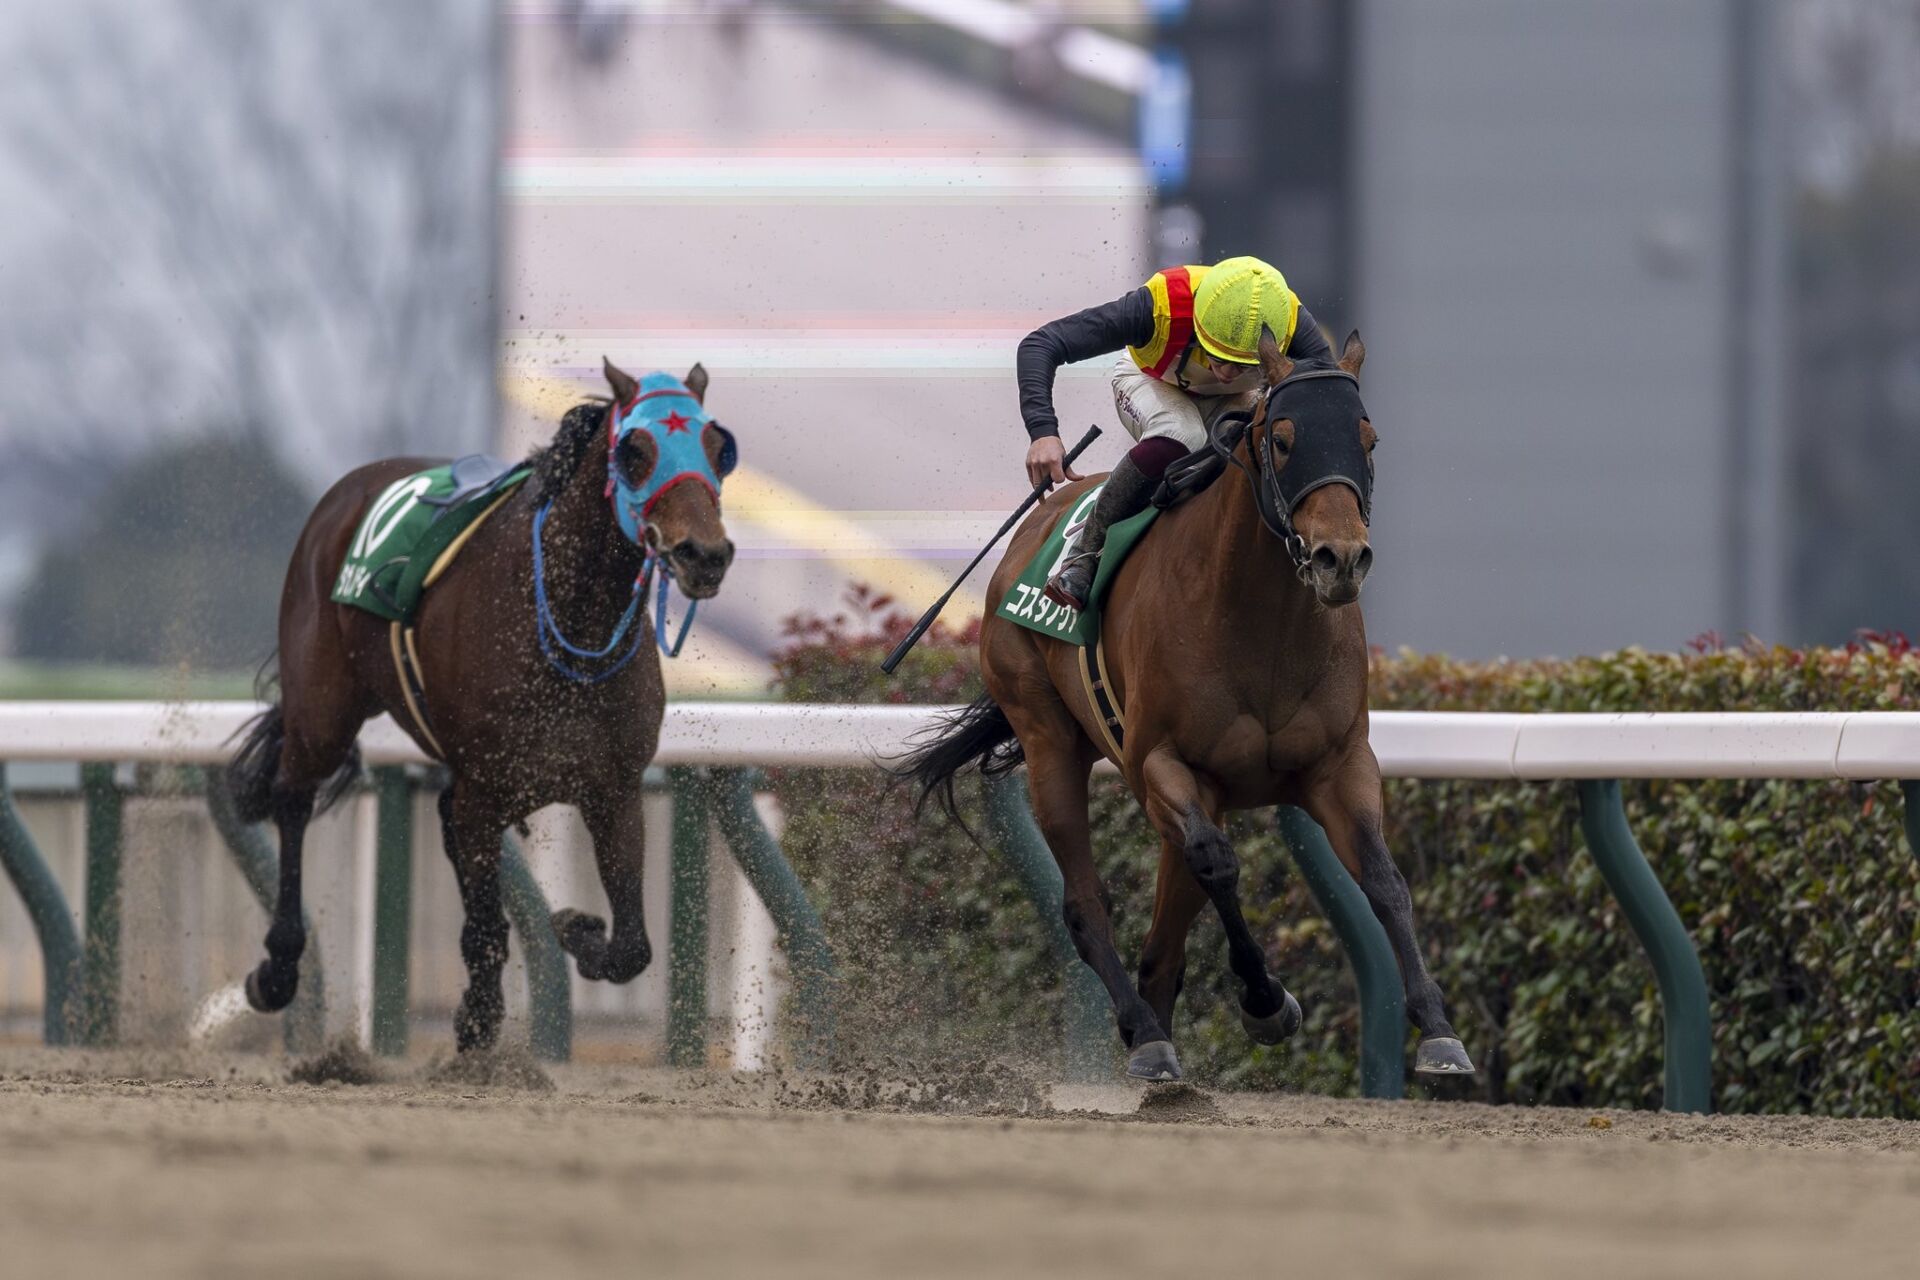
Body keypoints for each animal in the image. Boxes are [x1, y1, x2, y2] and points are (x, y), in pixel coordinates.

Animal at [226, 358, 738, 1052]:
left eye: (718, 448)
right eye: (634, 450)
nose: (704, 555)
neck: (568, 625)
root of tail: (348, 490)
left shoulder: (612, 788)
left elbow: (632, 945)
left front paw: (575, 929)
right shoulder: (486, 786)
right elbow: (489, 922)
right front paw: (478, 1015)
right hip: (322, 712)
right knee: (293, 798)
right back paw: (276, 968)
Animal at [897, 329, 1473, 1083]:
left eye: (1368, 438)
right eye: (1282, 439)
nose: (1340, 560)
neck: (1264, 625)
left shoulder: (1340, 764)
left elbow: (1384, 879)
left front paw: (1439, 1030)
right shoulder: (1163, 766)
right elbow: (1220, 864)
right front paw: (1266, 1003)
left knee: (1163, 941)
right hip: (1049, 738)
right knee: (1088, 904)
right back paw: (1145, 1033)